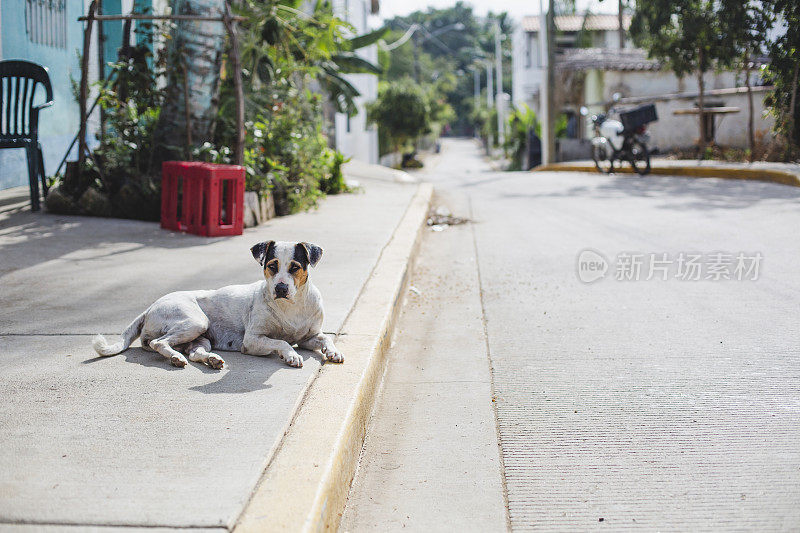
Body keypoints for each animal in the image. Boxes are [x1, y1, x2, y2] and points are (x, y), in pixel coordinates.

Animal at [92, 242, 342, 370]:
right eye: (272, 265)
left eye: (295, 267)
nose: (280, 288)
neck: (291, 307)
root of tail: (149, 307)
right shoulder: (253, 340)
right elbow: (281, 341)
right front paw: (291, 355)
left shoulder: (309, 338)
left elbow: (326, 338)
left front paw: (334, 351)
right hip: (195, 321)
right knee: (157, 342)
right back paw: (175, 358)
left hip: (200, 337)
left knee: (194, 352)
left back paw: (208, 359)